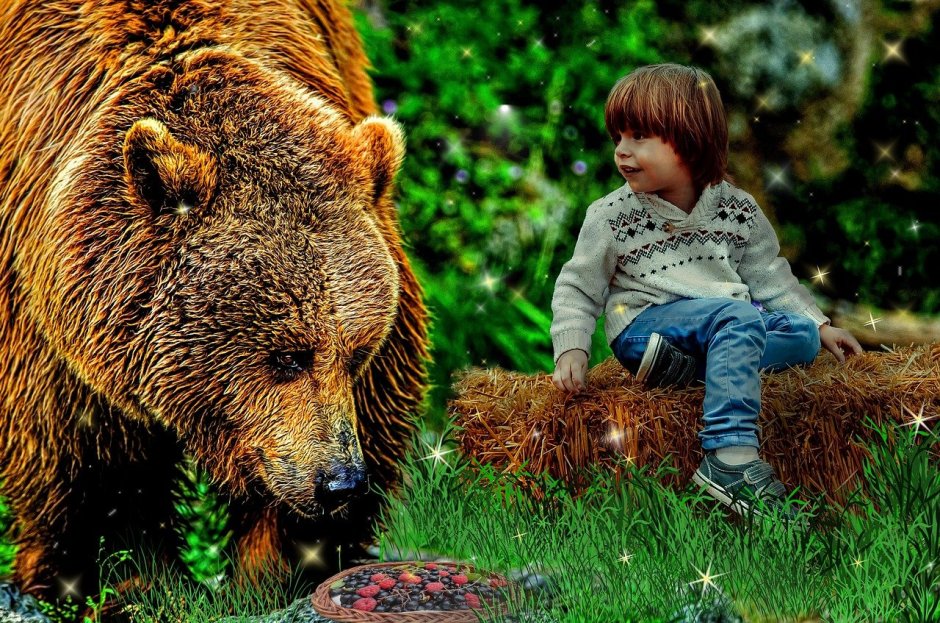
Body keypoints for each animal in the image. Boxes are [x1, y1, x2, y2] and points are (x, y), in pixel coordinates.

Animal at [0, 0, 429, 606]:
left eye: (357, 353)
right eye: (288, 357)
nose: (340, 480)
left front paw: (279, 568)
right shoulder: (43, 311)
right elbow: (78, 457)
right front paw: (113, 577)